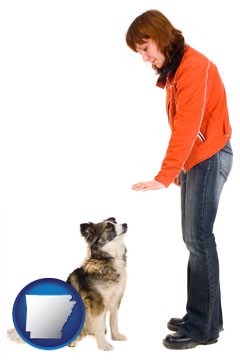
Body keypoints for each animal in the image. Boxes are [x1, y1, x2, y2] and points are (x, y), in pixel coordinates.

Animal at [66, 218, 128, 350]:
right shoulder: (97, 302)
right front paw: (103, 344)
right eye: (108, 226)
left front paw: (116, 336)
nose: (125, 224)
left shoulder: (116, 299)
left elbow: (114, 321)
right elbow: (99, 324)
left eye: (115, 222)